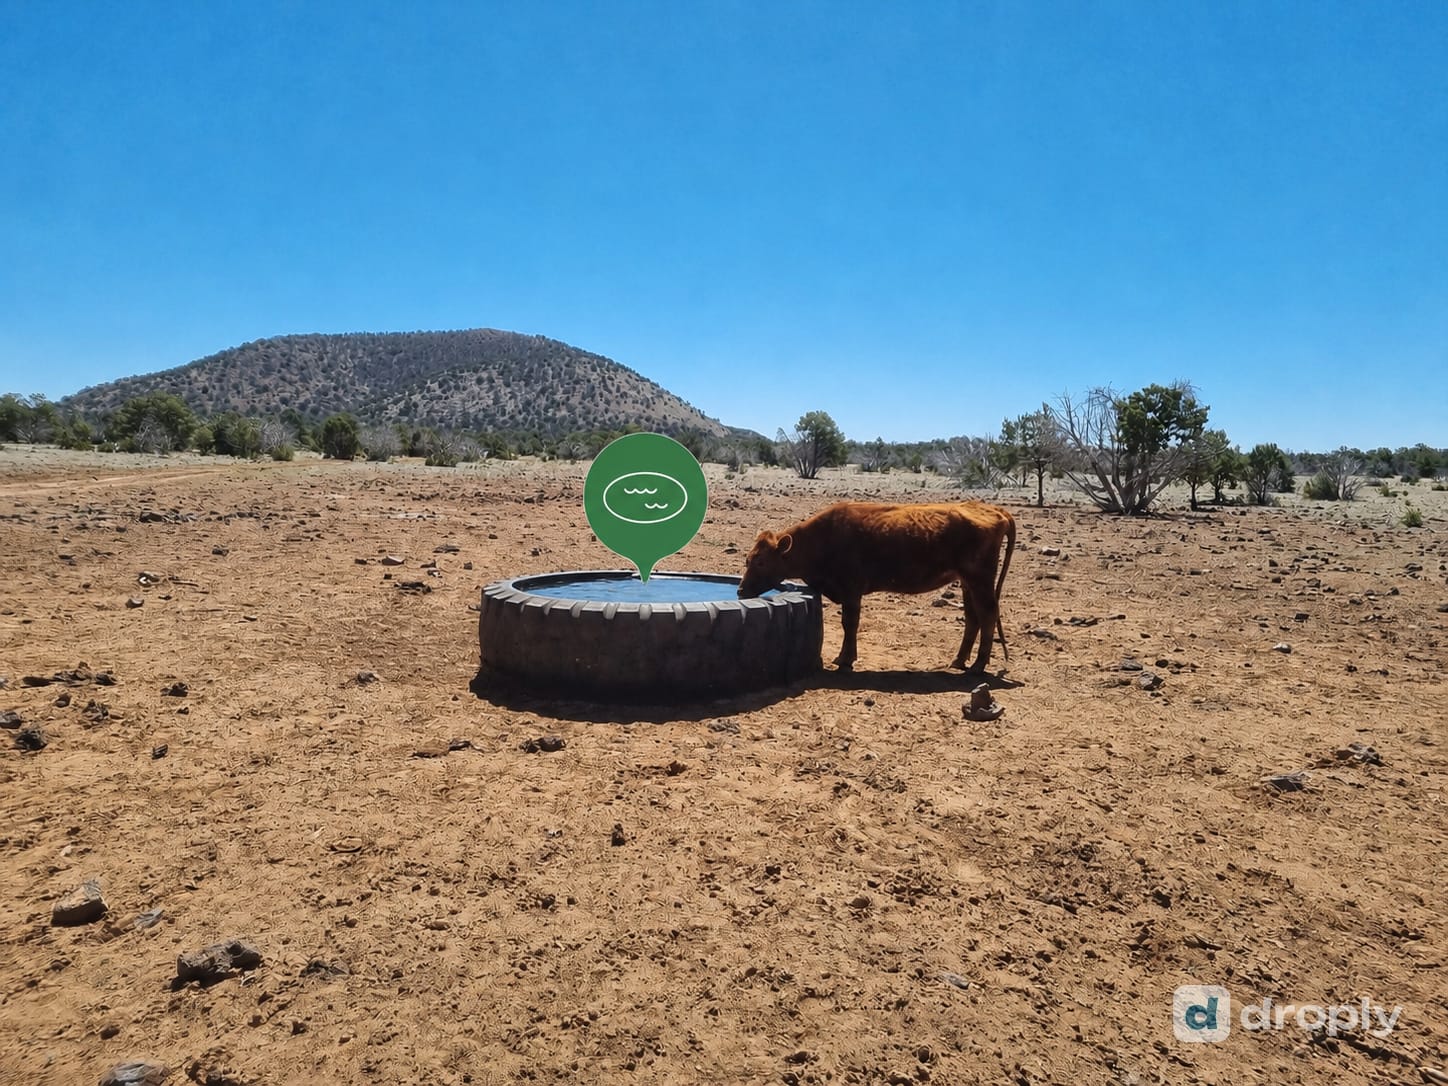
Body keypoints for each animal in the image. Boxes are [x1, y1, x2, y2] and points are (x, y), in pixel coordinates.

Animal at [737, 500, 1016, 674]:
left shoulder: (851, 591)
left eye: (761, 561)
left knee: (988, 615)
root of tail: (993, 509)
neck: (823, 539)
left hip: (980, 580)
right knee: (973, 618)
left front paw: (845, 659)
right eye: (748, 559)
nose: (740, 591)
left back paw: (978, 666)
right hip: (968, 583)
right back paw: (959, 661)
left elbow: (849, 624)